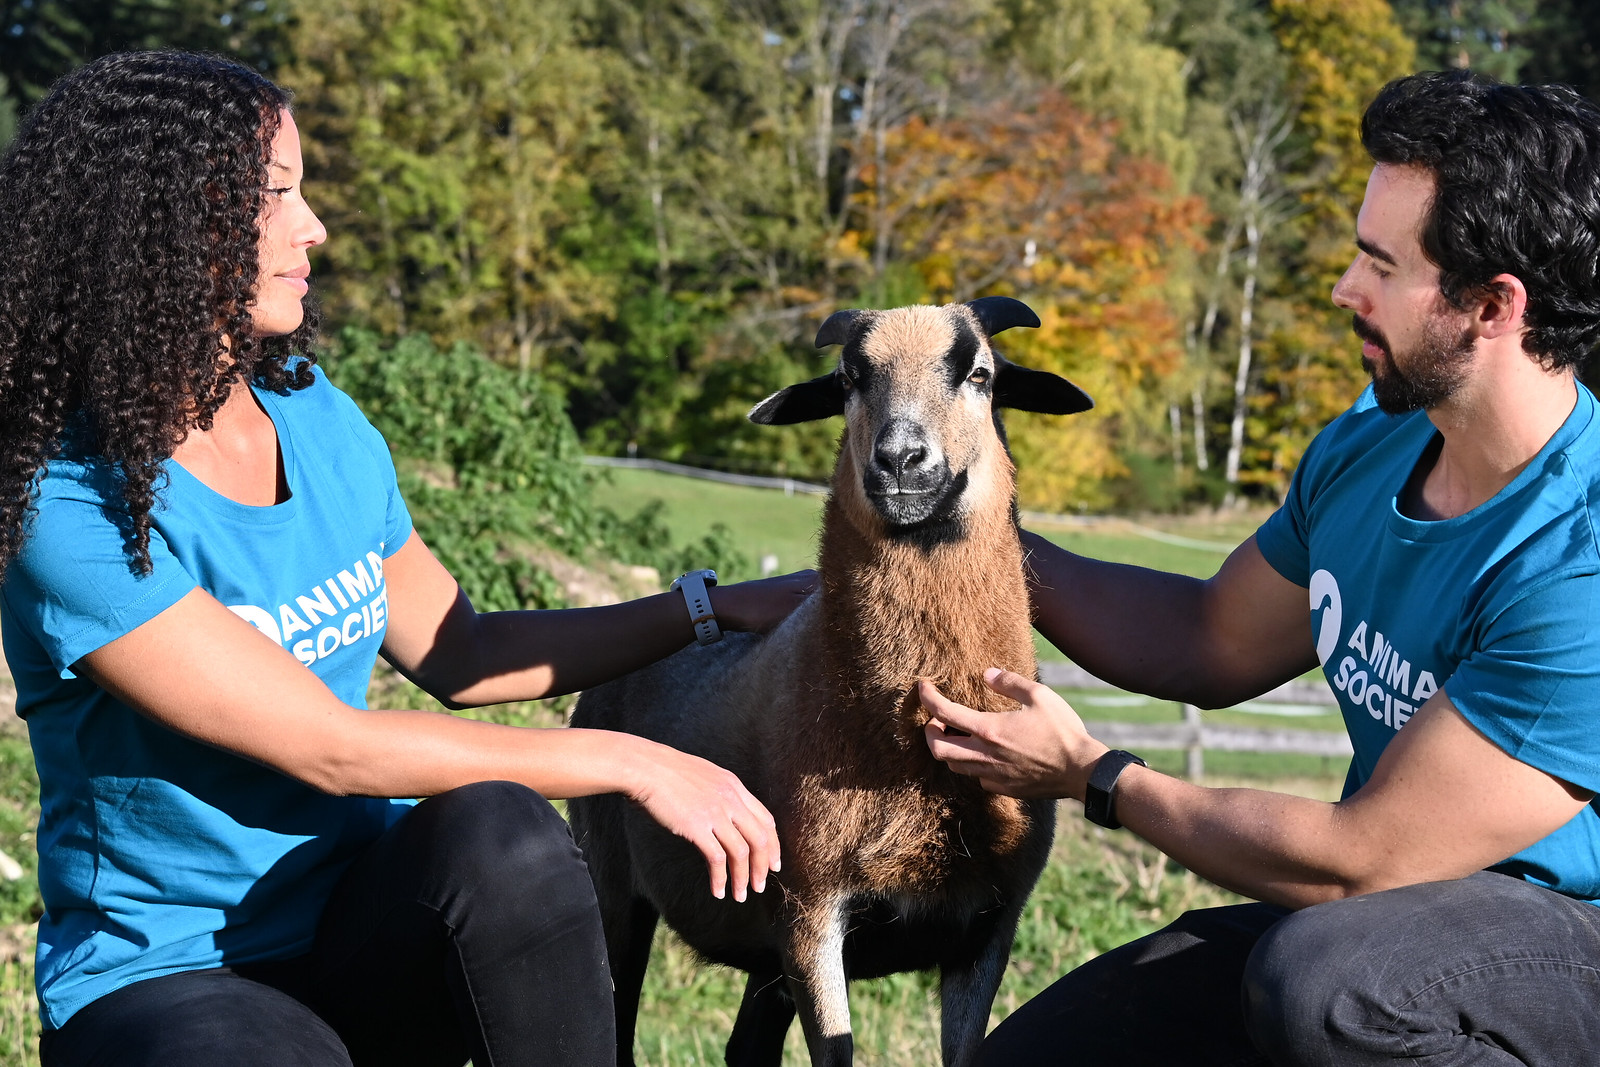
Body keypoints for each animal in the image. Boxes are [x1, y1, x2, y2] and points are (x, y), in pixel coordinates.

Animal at [568, 297, 1094, 1067]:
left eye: (980, 374)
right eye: (849, 377)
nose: (901, 460)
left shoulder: (987, 927)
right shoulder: (811, 915)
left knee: (746, 1048)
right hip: (613, 883)